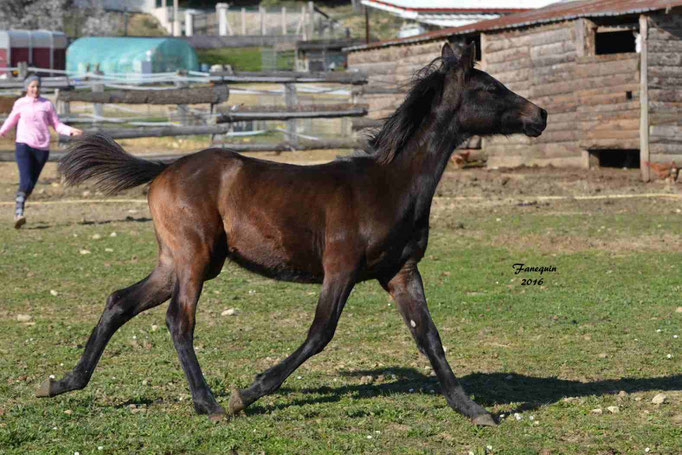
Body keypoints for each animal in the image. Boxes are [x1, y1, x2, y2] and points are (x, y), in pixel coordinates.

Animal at [37, 43, 548, 428]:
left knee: (120, 301)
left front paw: (473, 409)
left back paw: (62, 383)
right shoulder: (340, 268)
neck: (391, 183)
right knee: (178, 320)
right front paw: (247, 393)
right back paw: (210, 403)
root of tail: (164, 167)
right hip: (195, 258)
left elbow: (429, 337)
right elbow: (320, 333)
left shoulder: (401, 271)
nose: (539, 114)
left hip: (176, 261)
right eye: (489, 87)